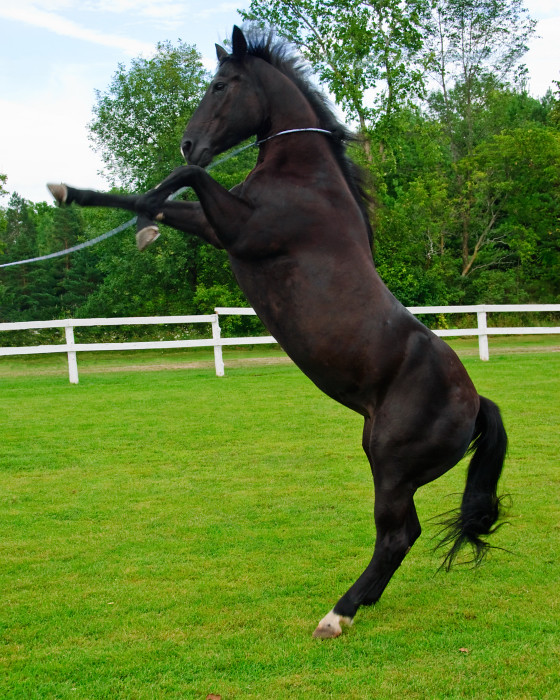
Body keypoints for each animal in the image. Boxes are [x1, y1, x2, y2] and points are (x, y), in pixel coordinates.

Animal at [48, 25, 508, 639]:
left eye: (221, 85)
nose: (188, 143)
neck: (305, 179)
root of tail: (475, 402)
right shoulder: (220, 226)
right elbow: (171, 196)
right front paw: (89, 199)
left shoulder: (241, 229)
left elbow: (185, 183)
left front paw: (134, 216)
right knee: (399, 537)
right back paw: (360, 604)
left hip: (390, 465)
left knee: (396, 535)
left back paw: (338, 614)